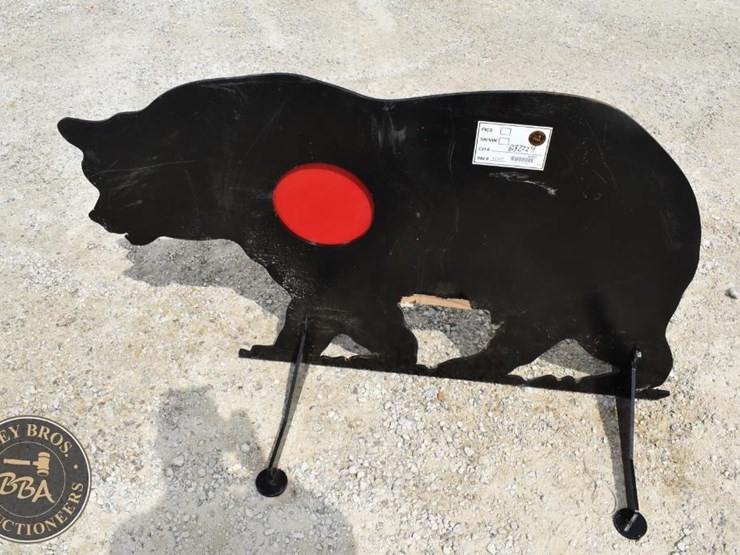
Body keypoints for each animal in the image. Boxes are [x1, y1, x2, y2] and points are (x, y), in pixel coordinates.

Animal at [58, 73, 701, 391]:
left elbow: (357, 318)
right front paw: (277, 351)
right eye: (92, 177)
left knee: (638, 349)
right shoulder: (317, 275)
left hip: (588, 282)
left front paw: (396, 358)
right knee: (551, 333)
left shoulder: (338, 272)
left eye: (110, 179)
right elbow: (306, 321)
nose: (96, 217)